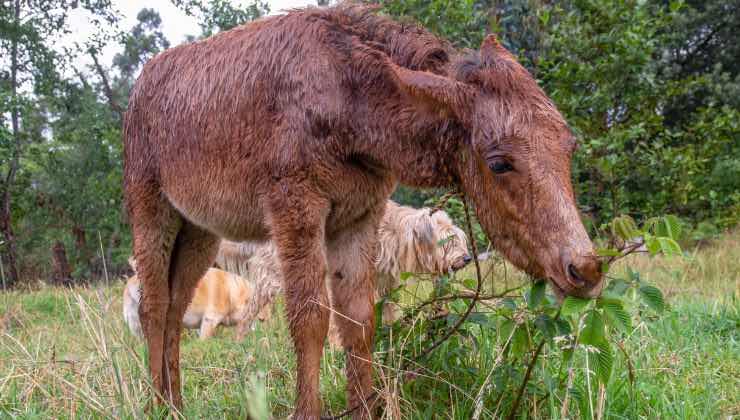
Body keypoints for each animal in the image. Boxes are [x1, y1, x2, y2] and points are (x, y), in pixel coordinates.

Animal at [124, 4, 604, 418]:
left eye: (570, 145)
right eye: (500, 162)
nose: (584, 269)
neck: (355, 112)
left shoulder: (359, 215)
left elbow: (359, 321)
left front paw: (364, 407)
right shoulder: (294, 204)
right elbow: (310, 319)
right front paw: (308, 411)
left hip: (199, 230)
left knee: (175, 306)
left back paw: (175, 404)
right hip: (150, 208)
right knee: (153, 305)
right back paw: (153, 404)